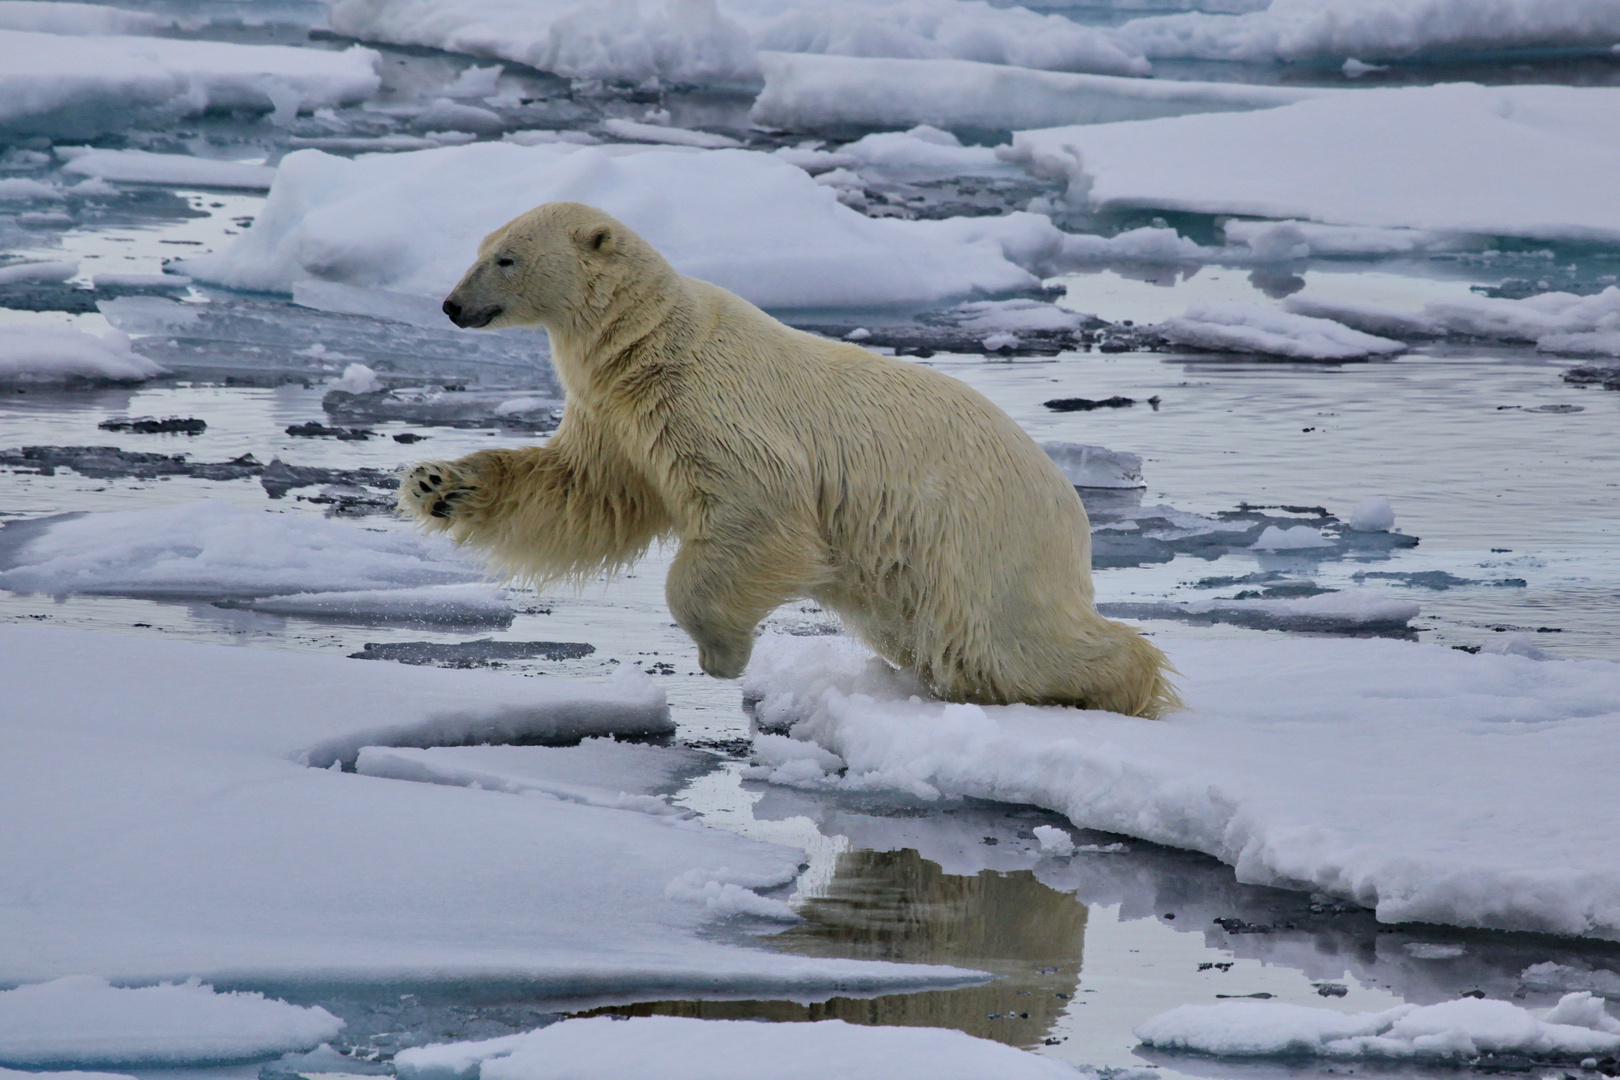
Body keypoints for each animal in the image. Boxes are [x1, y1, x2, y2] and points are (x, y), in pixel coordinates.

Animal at [396, 208, 1172, 722]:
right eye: (482, 247)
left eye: (506, 259)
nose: (453, 305)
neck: (651, 345)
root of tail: (1070, 505)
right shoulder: (618, 422)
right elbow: (580, 493)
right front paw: (436, 484)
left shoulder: (713, 405)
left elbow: (758, 512)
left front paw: (723, 654)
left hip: (978, 538)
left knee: (1006, 640)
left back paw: (1127, 683)